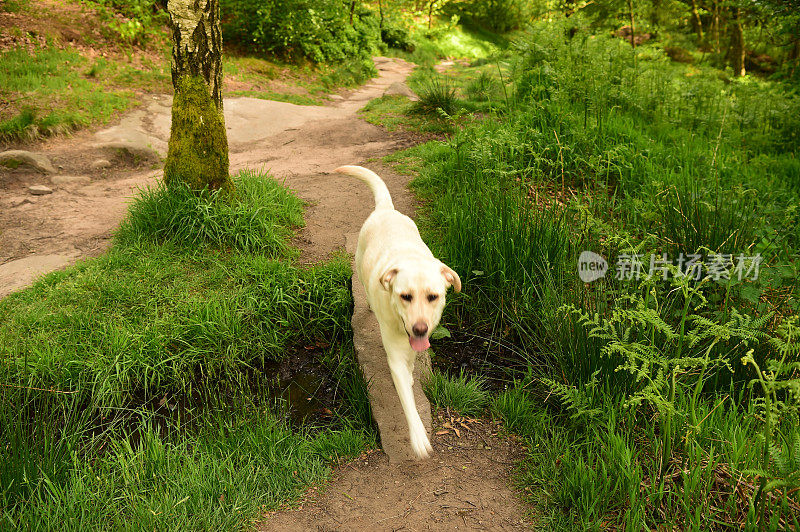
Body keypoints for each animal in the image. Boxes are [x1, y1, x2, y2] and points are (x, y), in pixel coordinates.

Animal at [336, 165, 462, 458]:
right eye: (405, 297)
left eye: (433, 297)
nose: (420, 328)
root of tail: (386, 208)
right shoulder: (394, 355)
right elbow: (407, 400)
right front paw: (418, 436)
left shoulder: (417, 343)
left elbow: (412, 362)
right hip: (359, 262)